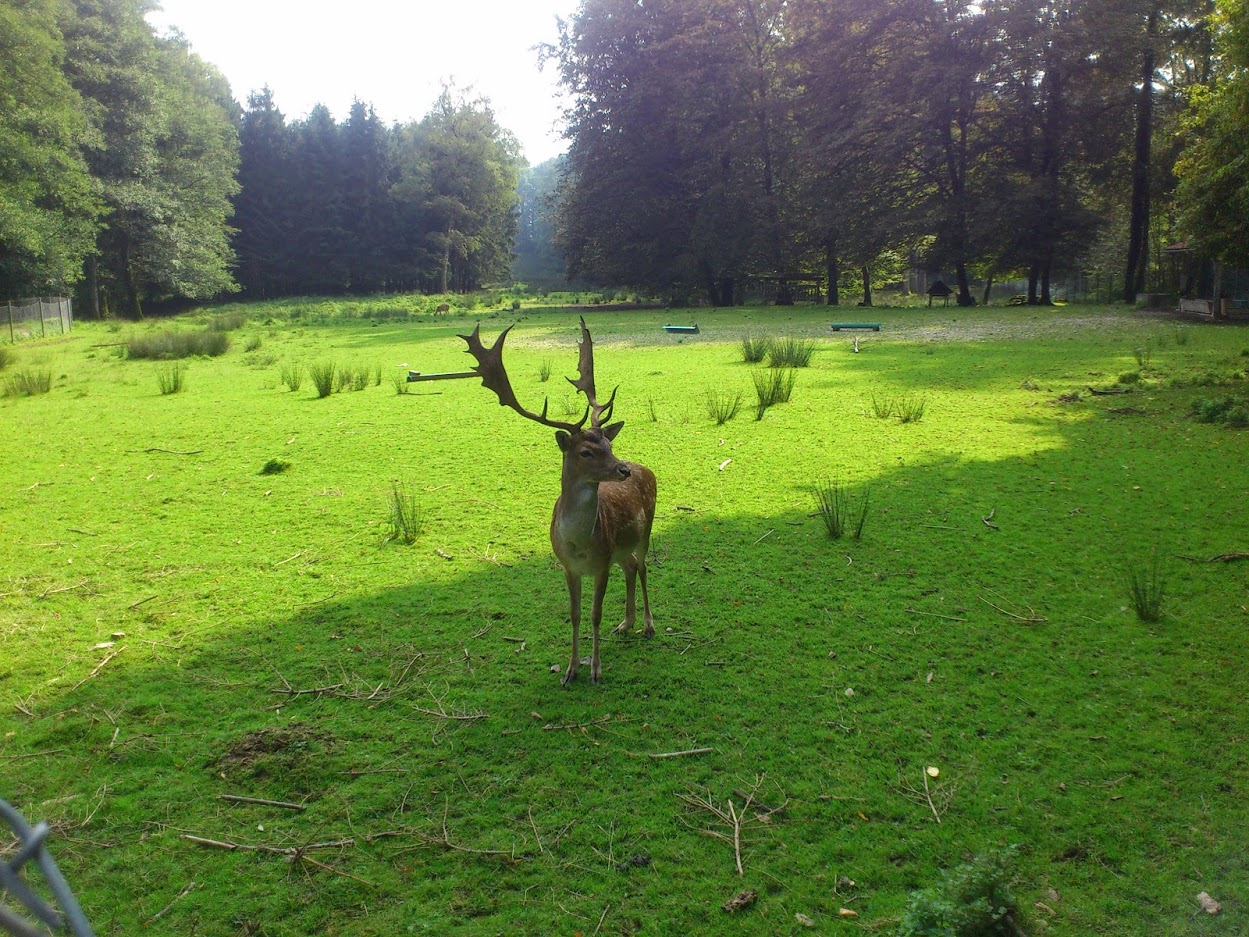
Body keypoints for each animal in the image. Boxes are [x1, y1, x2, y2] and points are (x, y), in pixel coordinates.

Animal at [460, 317, 656, 685]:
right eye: (586, 451)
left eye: (608, 444)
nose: (622, 469)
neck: (580, 545)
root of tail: (647, 468)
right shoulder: (568, 566)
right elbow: (575, 614)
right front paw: (570, 670)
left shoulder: (602, 563)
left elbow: (594, 614)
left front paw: (595, 670)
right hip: (622, 548)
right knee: (631, 566)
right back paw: (627, 623)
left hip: (647, 528)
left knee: (643, 566)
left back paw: (649, 626)